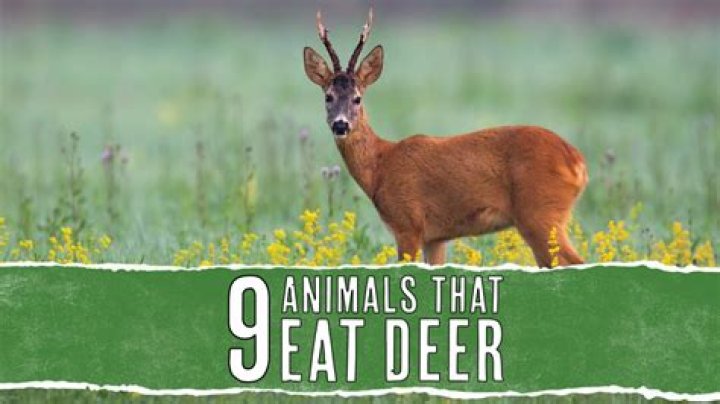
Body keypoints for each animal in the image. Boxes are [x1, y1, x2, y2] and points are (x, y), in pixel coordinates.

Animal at [303, 9, 589, 267]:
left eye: (357, 98)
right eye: (328, 96)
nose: (341, 124)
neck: (380, 166)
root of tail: (577, 161)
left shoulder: (408, 223)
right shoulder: (435, 237)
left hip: (540, 213)